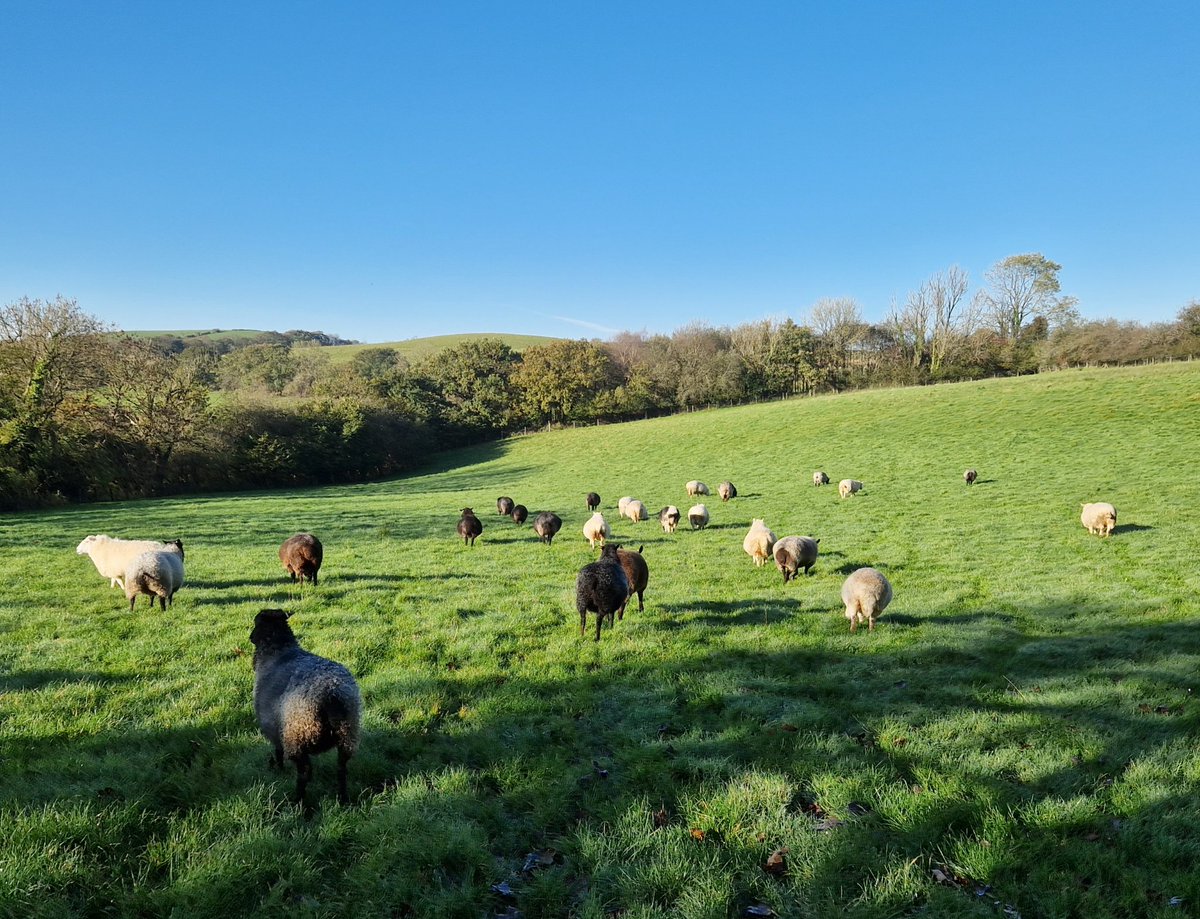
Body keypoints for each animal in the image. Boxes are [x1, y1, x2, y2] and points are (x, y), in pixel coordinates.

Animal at [250, 609, 362, 804]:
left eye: (257, 622)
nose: (250, 637)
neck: (278, 652)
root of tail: (331, 694)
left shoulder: (273, 727)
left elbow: (278, 751)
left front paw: (279, 770)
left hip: (297, 735)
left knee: (305, 773)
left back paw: (298, 801)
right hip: (347, 734)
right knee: (341, 769)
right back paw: (342, 799)